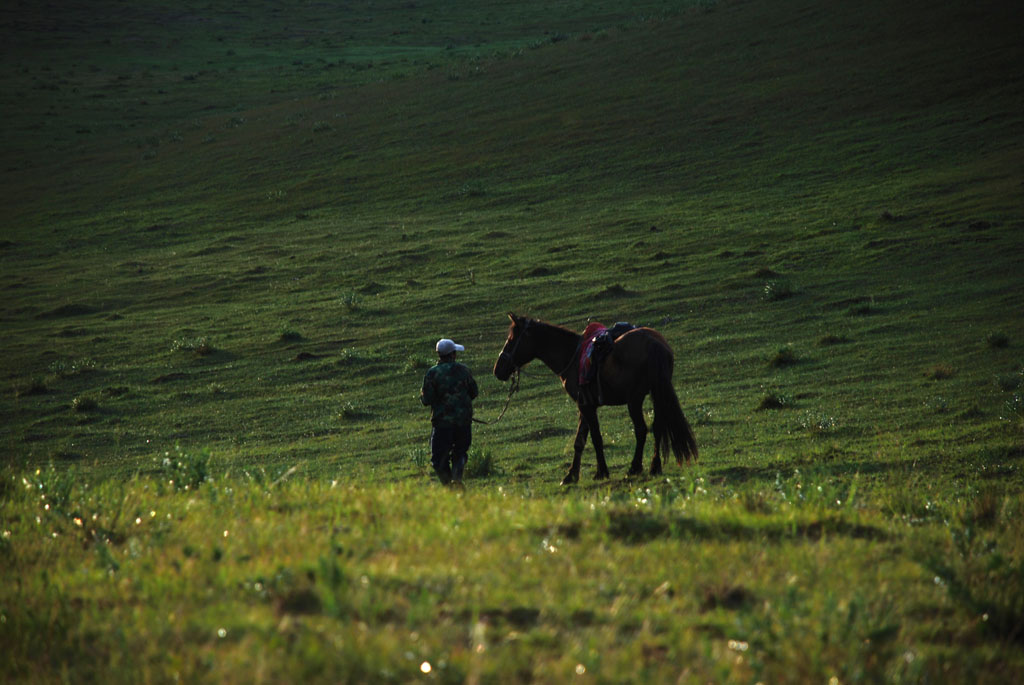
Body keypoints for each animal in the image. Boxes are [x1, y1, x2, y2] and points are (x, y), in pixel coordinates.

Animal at [493, 313, 700, 483]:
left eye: (511, 339)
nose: (498, 369)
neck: (571, 355)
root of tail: (653, 343)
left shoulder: (586, 406)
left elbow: (596, 438)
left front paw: (601, 472)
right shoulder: (585, 405)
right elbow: (579, 441)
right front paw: (571, 475)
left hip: (635, 400)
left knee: (642, 430)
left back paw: (635, 468)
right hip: (656, 393)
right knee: (657, 426)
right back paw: (654, 466)